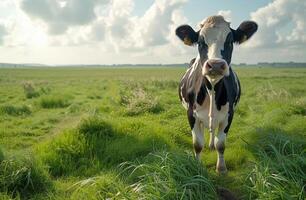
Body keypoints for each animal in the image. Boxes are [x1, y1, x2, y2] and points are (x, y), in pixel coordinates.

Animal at [176, 15, 256, 173]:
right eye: (200, 42)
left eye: (230, 41)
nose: (216, 65)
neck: (212, 89)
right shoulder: (191, 114)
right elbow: (197, 144)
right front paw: (197, 165)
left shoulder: (229, 114)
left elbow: (221, 144)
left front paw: (221, 168)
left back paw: (211, 145)